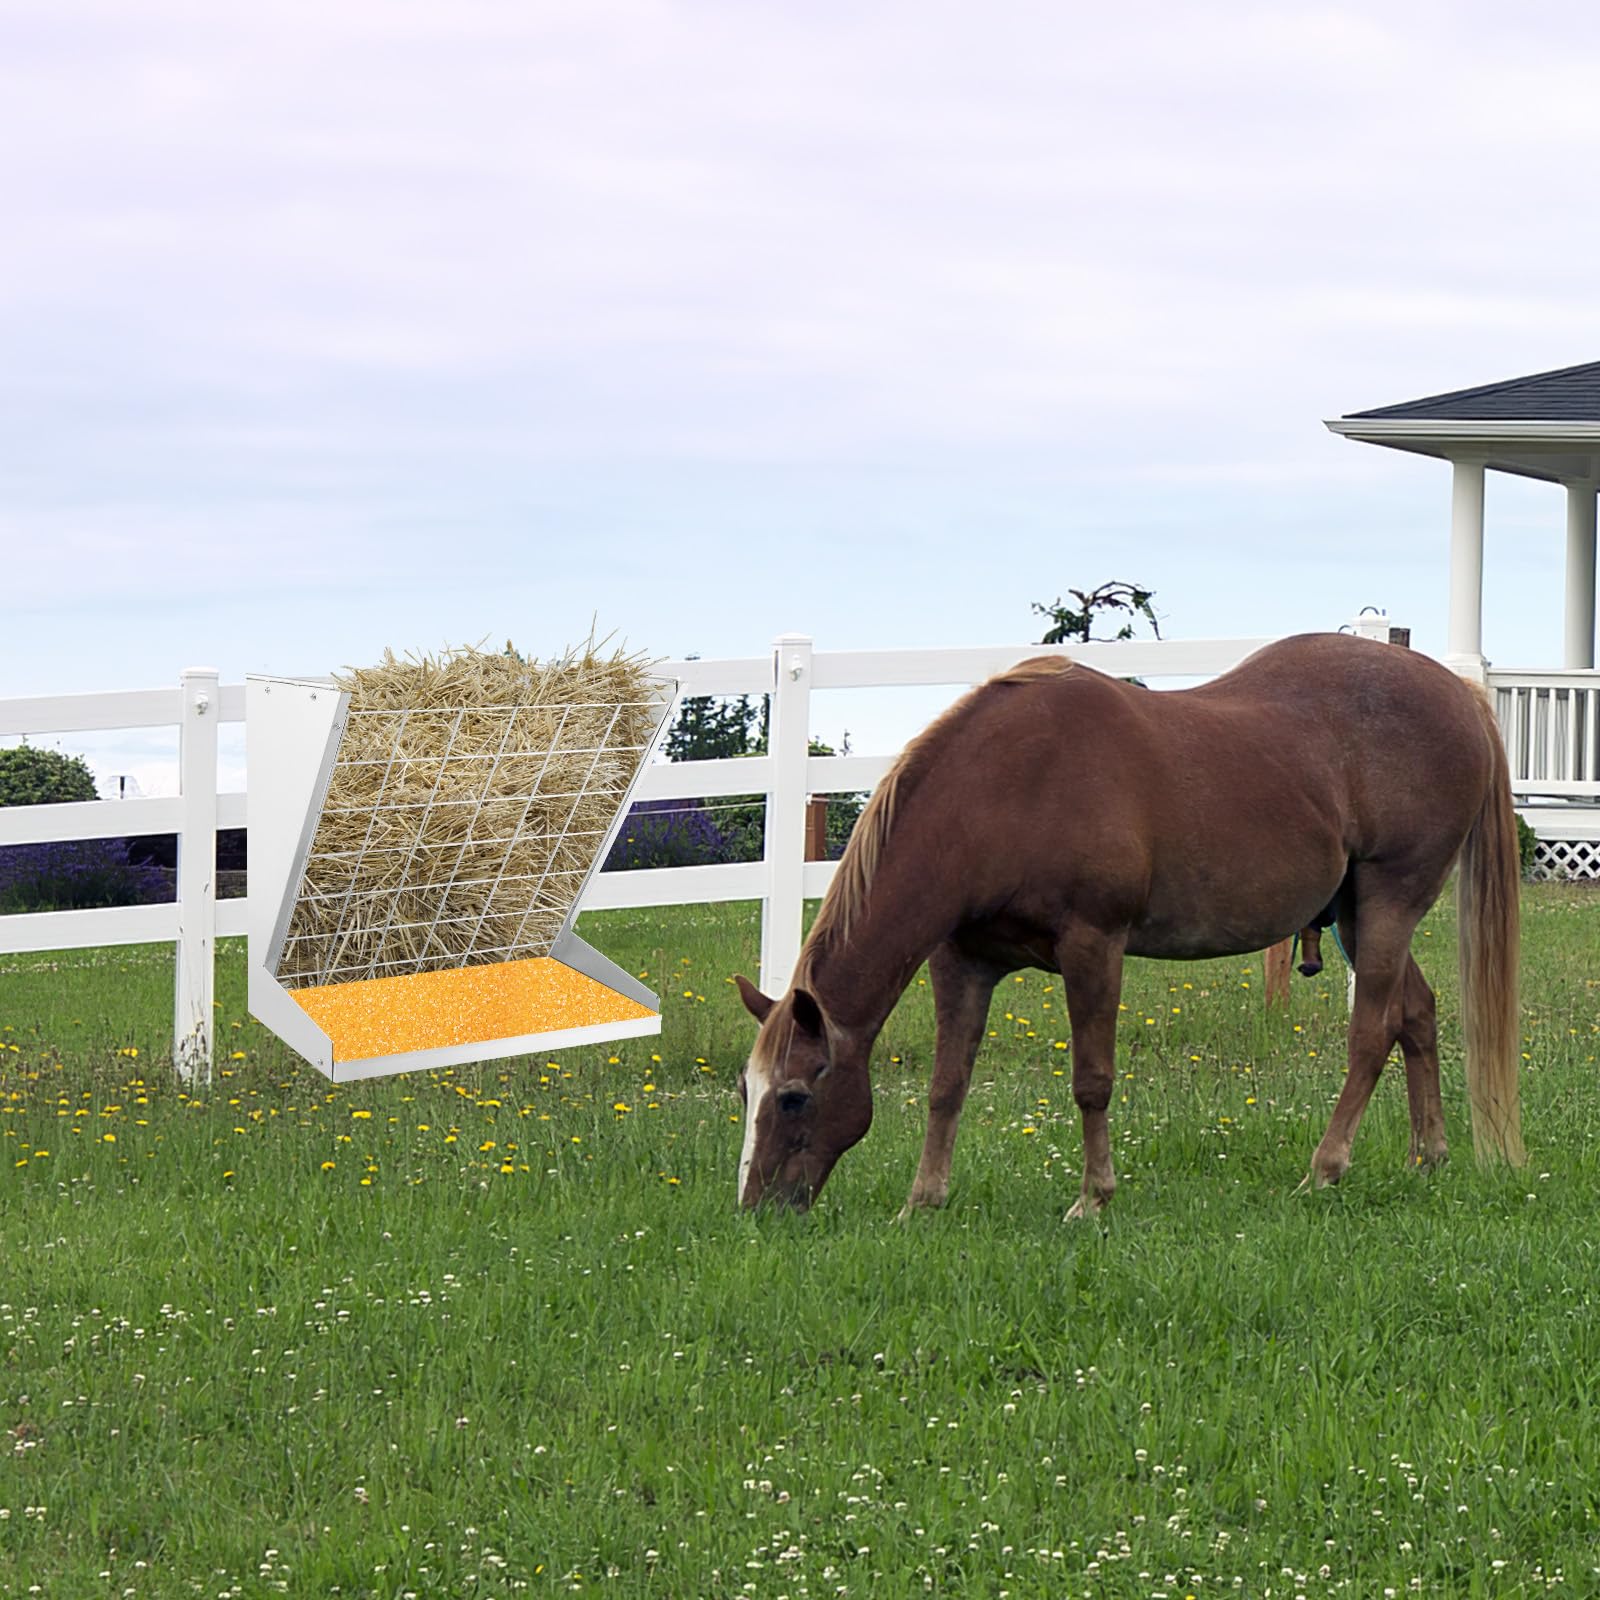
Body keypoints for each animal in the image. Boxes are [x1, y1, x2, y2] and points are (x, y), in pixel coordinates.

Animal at [733, 632, 1523, 1217]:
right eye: (747, 1093)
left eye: (796, 1095)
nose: (757, 1208)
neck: (1001, 789)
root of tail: (1458, 694)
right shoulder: (963, 961)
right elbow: (946, 1084)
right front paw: (922, 1202)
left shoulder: (1093, 946)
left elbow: (1092, 1080)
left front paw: (1093, 1198)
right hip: (1356, 914)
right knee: (1416, 1015)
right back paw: (1428, 1158)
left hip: (1391, 899)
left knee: (1371, 1033)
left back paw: (1324, 1169)